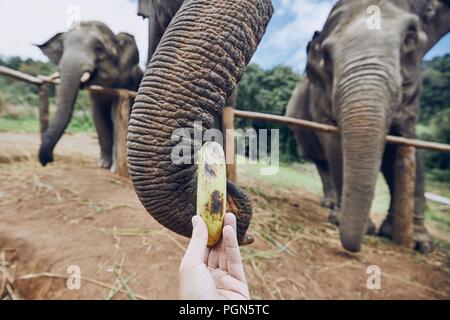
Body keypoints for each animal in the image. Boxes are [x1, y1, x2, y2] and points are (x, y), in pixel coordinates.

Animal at [37, 21, 143, 169]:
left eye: (98, 48)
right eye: (63, 49)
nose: (48, 160)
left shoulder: (128, 85)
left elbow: (115, 115)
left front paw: (113, 168)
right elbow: (98, 116)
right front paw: (103, 165)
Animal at [288, 0, 450, 252]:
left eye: (410, 37)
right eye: (326, 55)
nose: (353, 247)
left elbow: (406, 143)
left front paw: (419, 243)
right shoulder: (320, 97)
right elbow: (335, 144)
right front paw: (357, 226)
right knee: (321, 163)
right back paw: (330, 205)